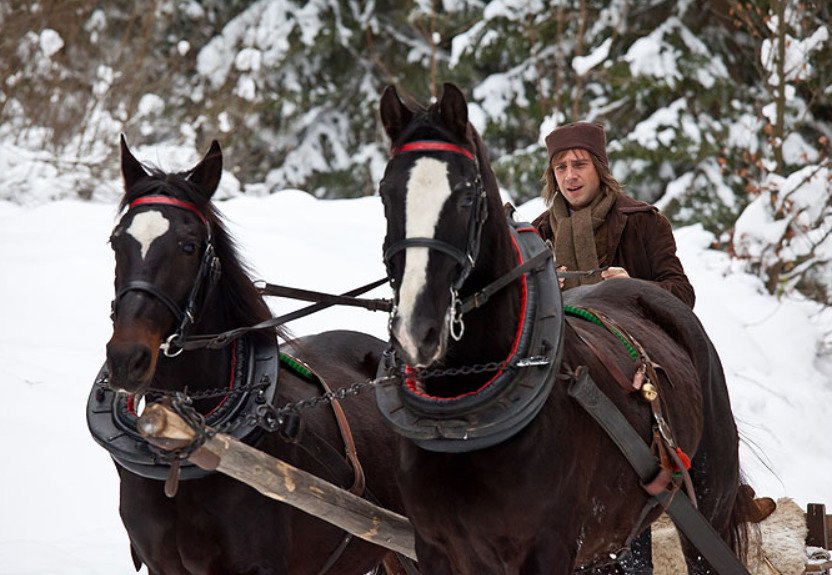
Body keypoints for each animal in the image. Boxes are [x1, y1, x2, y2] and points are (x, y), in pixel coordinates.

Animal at [374, 84, 752, 575]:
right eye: (385, 193)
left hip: (708, 504)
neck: (464, 420)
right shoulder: (436, 549)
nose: (416, 329)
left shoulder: (548, 548)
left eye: (465, 196)